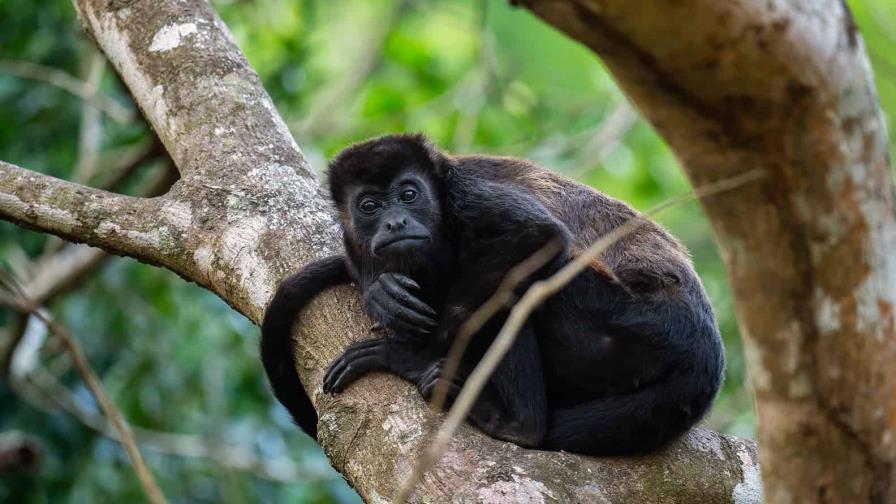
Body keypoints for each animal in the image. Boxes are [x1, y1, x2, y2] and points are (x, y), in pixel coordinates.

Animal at [262, 134, 724, 456]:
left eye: (409, 194)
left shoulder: (468, 193)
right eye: (369, 205)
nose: (395, 222)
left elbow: (539, 236)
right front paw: (382, 292)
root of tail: (705, 360)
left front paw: (417, 351)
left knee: (518, 286)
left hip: (626, 330)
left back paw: (512, 421)